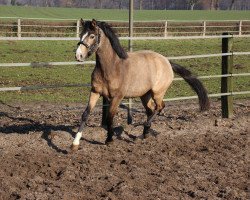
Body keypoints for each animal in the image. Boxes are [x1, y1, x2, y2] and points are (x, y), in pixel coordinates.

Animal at [72, 18, 209, 151]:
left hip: (157, 93)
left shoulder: (117, 97)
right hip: (145, 95)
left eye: (92, 36)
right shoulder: (95, 92)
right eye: (81, 34)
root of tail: (167, 62)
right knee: (150, 110)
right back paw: (145, 133)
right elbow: (85, 114)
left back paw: (144, 130)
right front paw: (75, 143)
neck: (111, 67)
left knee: (159, 107)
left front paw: (109, 140)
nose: (78, 55)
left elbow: (110, 117)